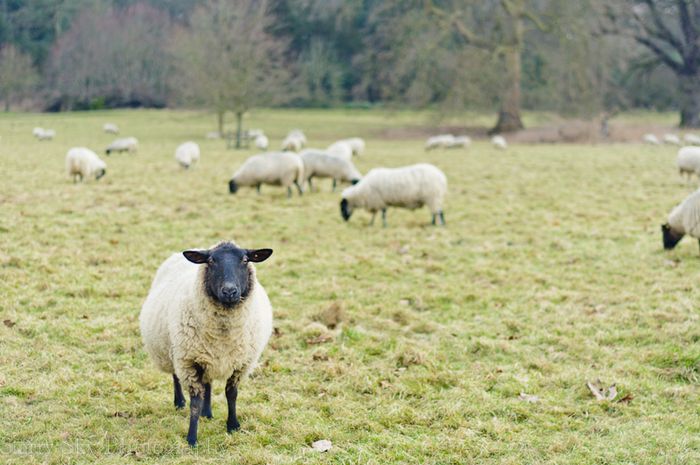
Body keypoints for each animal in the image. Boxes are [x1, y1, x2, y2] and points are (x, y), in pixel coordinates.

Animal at [139, 241, 274, 447]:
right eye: (211, 261)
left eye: (245, 260)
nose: (229, 291)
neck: (223, 334)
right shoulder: (189, 362)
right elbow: (195, 402)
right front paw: (192, 438)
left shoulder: (241, 363)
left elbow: (231, 395)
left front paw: (233, 426)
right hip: (172, 350)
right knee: (176, 377)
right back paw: (179, 403)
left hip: (207, 358)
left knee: (208, 384)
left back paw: (207, 413)